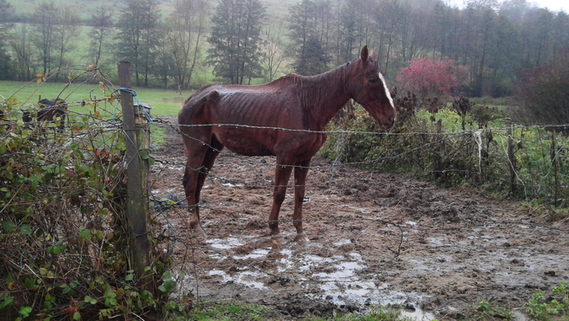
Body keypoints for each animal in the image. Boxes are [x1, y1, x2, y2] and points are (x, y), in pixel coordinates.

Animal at [178, 44, 394, 240]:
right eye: (372, 80)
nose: (391, 117)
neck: (308, 104)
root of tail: (191, 99)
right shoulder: (285, 157)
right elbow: (279, 192)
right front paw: (274, 228)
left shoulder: (305, 159)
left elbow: (300, 193)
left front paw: (300, 232)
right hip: (197, 148)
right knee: (190, 181)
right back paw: (196, 226)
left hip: (212, 149)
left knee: (199, 182)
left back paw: (199, 224)